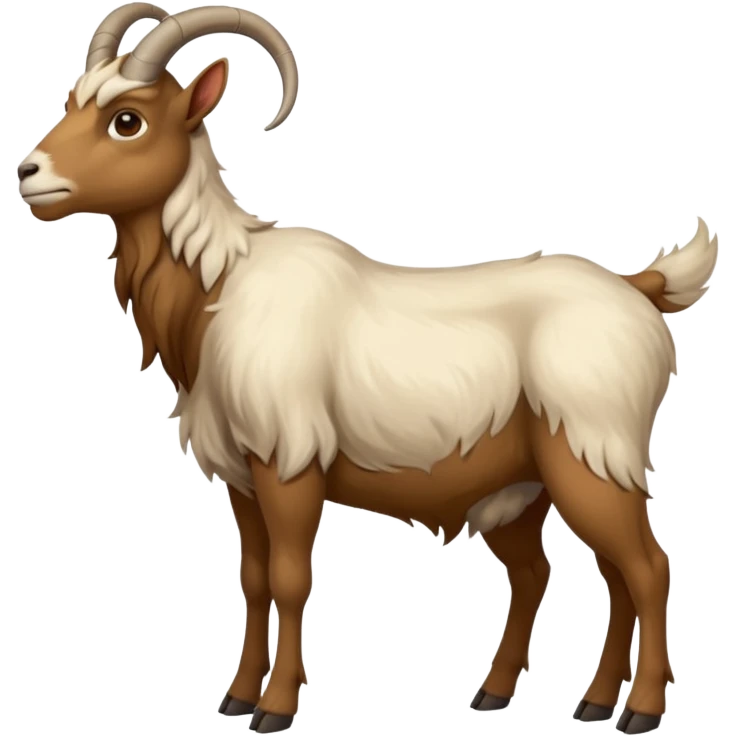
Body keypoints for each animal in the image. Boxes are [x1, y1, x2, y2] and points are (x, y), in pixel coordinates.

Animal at [17, 3, 719, 734]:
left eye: (127, 119)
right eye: (73, 101)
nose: (28, 173)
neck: (221, 287)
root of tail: (641, 289)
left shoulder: (289, 461)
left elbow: (291, 577)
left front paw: (274, 707)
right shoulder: (241, 475)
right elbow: (254, 579)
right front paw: (236, 696)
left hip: (594, 453)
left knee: (646, 569)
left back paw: (637, 710)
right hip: (531, 485)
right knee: (568, 574)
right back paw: (553, 698)